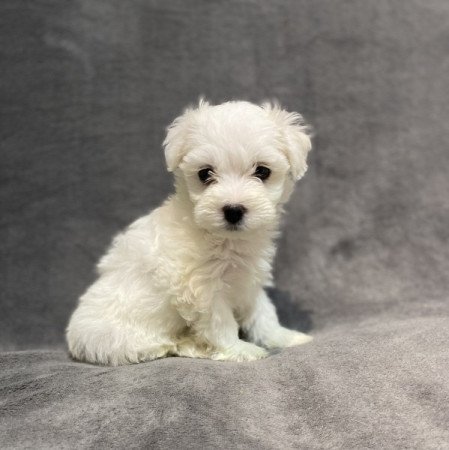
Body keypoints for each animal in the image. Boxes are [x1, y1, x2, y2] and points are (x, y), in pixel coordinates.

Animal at [65, 100, 312, 364]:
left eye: (262, 171)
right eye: (205, 174)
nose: (233, 210)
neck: (224, 240)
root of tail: (76, 339)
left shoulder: (249, 279)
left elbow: (263, 313)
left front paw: (285, 337)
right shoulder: (202, 290)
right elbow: (221, 323)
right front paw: (240, 350)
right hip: (122, 339)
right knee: (163, 345)